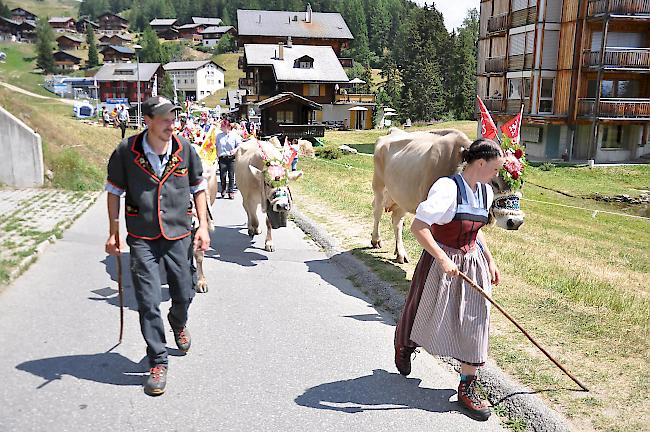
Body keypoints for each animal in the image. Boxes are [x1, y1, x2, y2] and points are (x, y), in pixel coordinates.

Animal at [370, 128, 520, 264]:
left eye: (521, 184)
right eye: (495, 183)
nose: (515, 222)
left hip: (401, 196)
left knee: (397, 221)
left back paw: (400, 253)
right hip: (379, 187)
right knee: (377, 212)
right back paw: (376, 240)